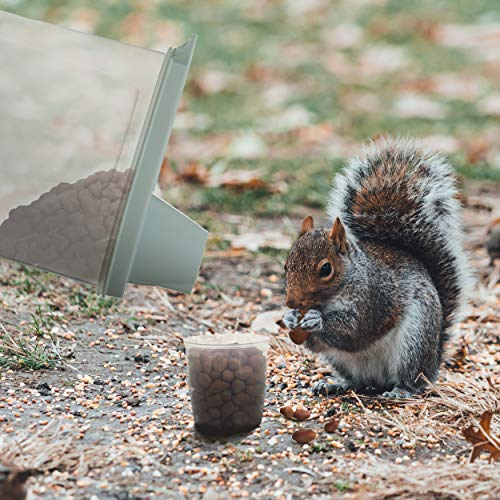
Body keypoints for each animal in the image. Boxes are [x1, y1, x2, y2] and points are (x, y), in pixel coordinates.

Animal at [284, 137, 470, 398]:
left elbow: (354, 330)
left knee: (411, 378)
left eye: (325, 269)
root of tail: (433, 363)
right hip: (342, 361)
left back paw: (401, 390)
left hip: (413, 343)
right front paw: (290, 318)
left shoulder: (374, 299)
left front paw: (315, 320)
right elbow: (315, 342)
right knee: (358, 381)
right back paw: (335, 384)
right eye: (286, 265)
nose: (291, 302)